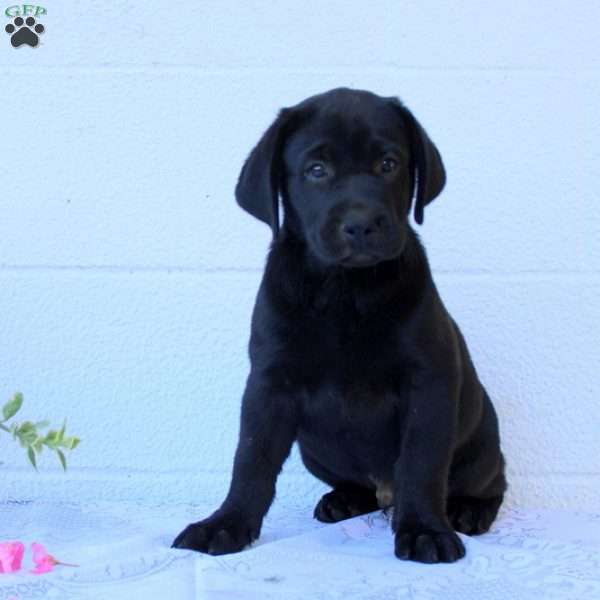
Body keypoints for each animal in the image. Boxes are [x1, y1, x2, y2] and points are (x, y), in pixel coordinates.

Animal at [173, 88, 506, 564]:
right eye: (316, 170)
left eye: (388, 163)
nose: (361, 224)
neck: (344, 291)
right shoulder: (268, 385)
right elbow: (251, 460)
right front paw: (226, 524)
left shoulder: (428, 383)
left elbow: (421, 464)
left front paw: (424, 529)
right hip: (314, 450)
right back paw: (343, 499)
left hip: (480, 443)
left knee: (489, 481)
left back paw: (467, 510)